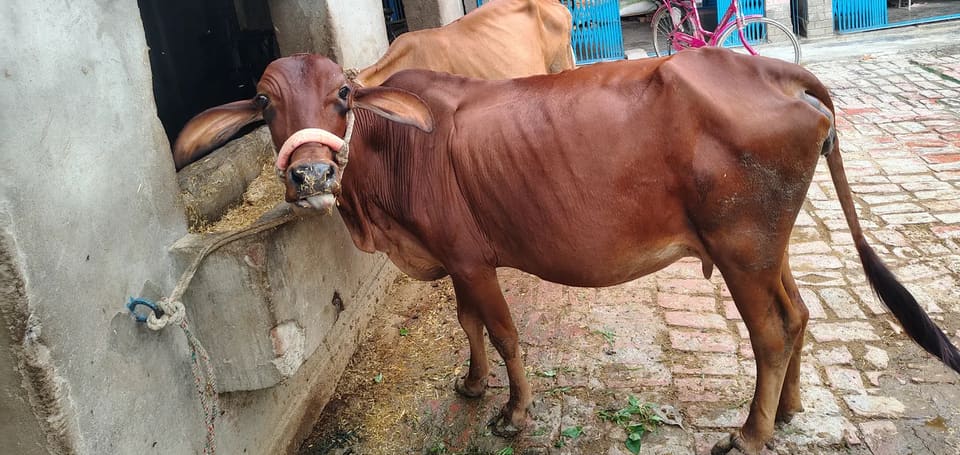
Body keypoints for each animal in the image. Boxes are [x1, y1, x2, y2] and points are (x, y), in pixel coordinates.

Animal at [173, 50, 960, 453]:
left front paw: (515, 413)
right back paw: (790, 409)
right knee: (798, 317)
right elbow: (469, 325)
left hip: (740, 248)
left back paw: (750, 432)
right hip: (768, 246)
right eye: (265, 103)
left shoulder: (470, 258)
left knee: (770, 332)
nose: (309, 175)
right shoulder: (455, 259)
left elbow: (506, 333)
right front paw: (471, 384)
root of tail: (772, 69)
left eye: (343, 93)